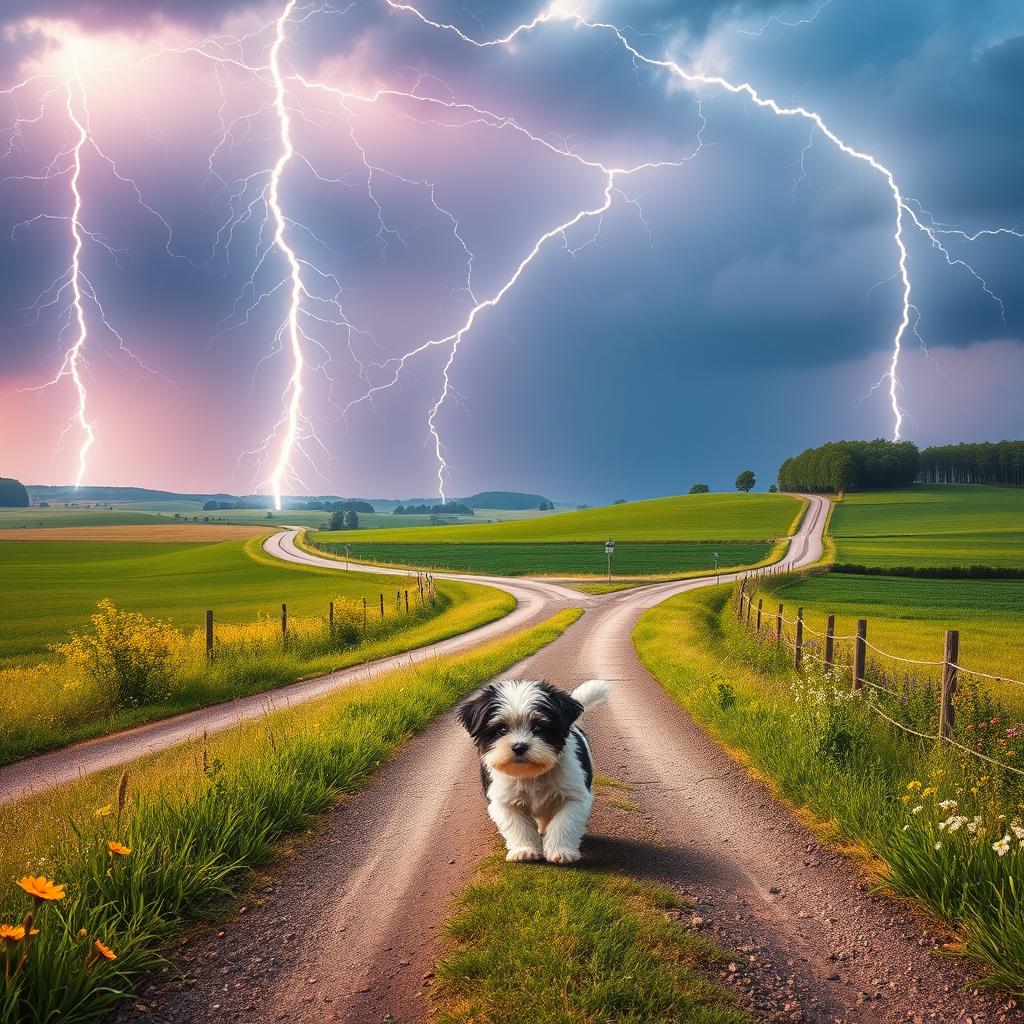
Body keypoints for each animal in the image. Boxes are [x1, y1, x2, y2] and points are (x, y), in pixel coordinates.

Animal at [458, 679, 606, 864]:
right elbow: (518, 825)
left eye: (538, 728)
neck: (530, 774)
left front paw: (560, 851)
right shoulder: (504, 800)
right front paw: (525, 850)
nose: (519, 746)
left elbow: (564, 822)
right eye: (501, 730)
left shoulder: (574, 796)